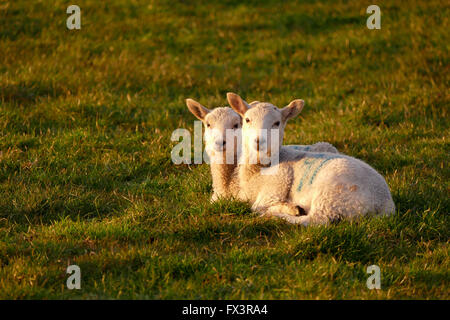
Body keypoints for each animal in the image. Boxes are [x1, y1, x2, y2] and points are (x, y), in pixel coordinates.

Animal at [227, 91, 396, 226]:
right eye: (247, 120)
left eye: (277, 123)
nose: (258, 141)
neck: (258, 169)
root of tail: (385, 204)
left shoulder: (276, 185)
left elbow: (257, 206)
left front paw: (288, 208)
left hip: (333, 195)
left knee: (314, 220)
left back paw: (278, 216)